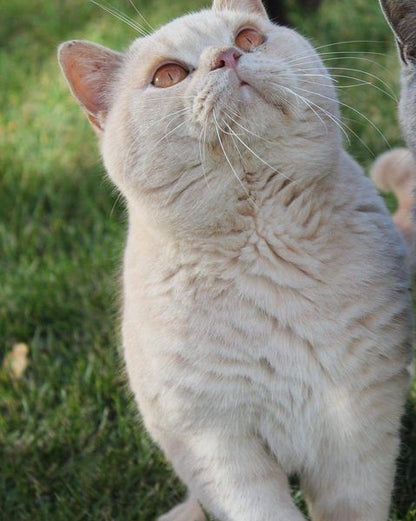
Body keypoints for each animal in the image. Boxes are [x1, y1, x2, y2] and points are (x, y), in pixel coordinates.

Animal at [57, 1, 412, 520]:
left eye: (247, 38)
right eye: (168, 76)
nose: (227, 56)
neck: (265, 240)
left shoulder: (361, 424)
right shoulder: (214, 446)